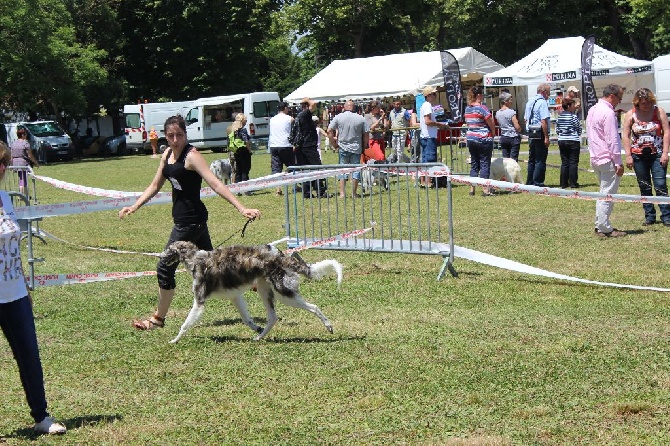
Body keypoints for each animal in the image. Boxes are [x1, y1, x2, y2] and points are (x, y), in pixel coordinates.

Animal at [160, 242, 344, 344]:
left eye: (168, 249)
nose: (159, 257)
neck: (196, 259)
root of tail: (280, 255)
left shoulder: (199, 302)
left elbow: (184, 325)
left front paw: (174, 340)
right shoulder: (235, 296)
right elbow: (246, 319)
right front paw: (256, 328)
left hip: (283, 294)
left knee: (314, 307)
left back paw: (329, 326)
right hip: (265, 291)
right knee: (273, 318)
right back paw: (259, 337)